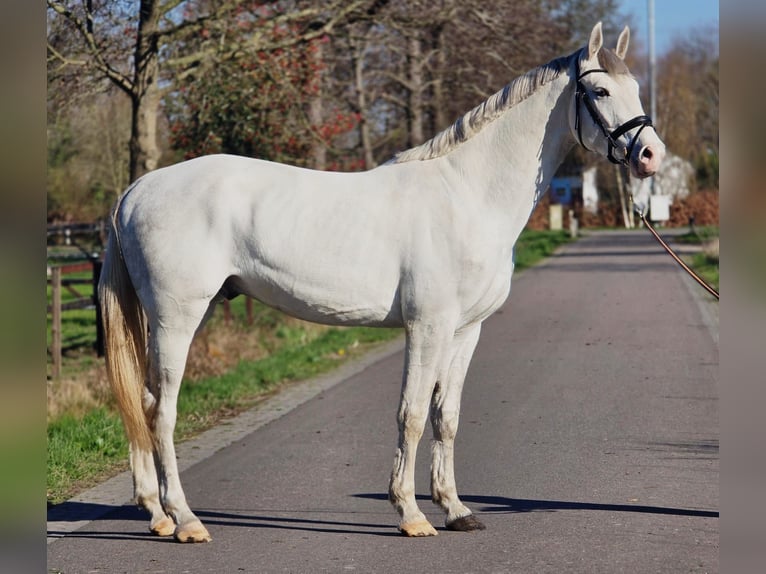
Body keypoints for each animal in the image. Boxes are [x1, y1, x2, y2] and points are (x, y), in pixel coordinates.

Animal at [99, 22, 665, 542]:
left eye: (637, 88)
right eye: (600, 91)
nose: (650, 156)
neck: (468, 195)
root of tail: (136, 189)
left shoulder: (466, 331)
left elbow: (446, 416)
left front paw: (456, 509)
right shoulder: (427, 327)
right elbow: (411, 414)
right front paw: (411, 514)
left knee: (143, 405)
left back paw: (157, 515)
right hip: (176, 317)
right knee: (161, 409)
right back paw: (186, 520)